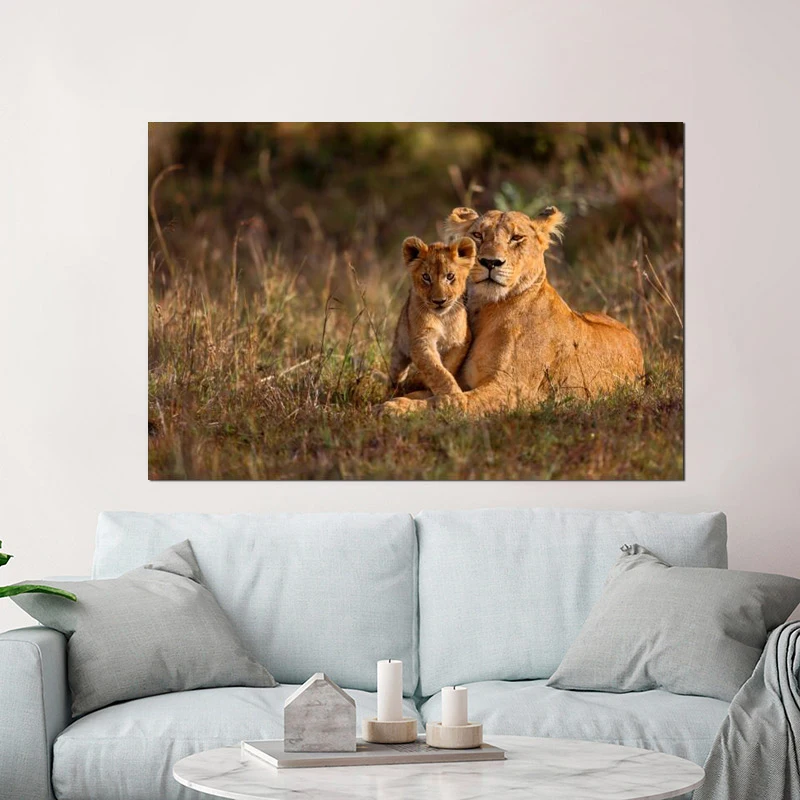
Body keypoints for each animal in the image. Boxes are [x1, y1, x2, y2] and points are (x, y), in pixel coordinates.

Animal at [389, 236, 476, 397]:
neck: (442, 318)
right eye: (426, 277)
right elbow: (436, 370)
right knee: (395, 375)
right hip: (398, 350)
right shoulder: (421, 340)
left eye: (450, 276)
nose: (439, 301)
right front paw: (454, 395)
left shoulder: (462, 340)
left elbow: (447, 366)